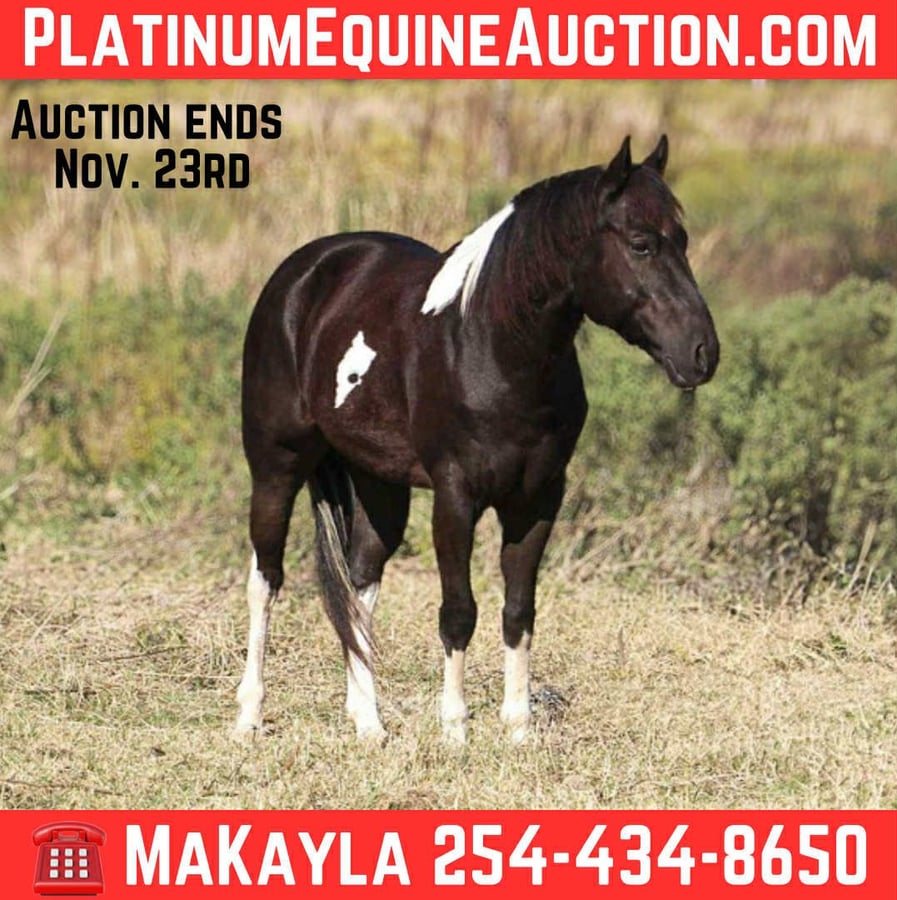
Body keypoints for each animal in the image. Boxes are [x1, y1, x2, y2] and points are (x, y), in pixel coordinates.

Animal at [234, 135, 719, 745]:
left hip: (377, 481)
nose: (702, 352)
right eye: (640, 243)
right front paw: (455, 730)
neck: (493, 348)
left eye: (682, 239)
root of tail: (303, 273)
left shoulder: (537, 499)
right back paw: (248, 717)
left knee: (360, 581)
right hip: (276, 465)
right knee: (266, 578)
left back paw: (369, 724)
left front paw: (518, 729)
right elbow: (458, 611)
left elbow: (518, 610)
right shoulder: (456, 498)